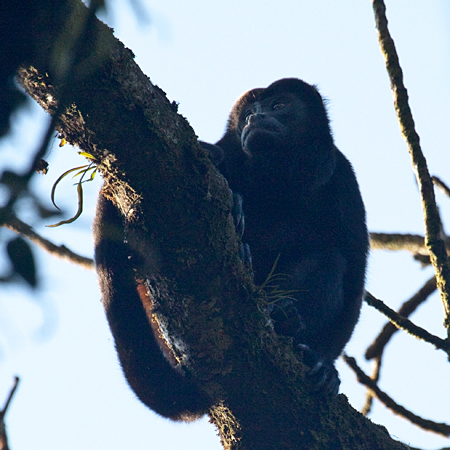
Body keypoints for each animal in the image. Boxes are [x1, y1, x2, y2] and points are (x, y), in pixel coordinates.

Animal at [93, 78, 368, 422]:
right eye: (249, 113)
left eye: (279, 105)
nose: (255, 118)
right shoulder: (230, 152)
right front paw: (235, 203)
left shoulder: (343, 179)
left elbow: (355, 271)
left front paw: (324, 365)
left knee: (330, 260)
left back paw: (285, 318)